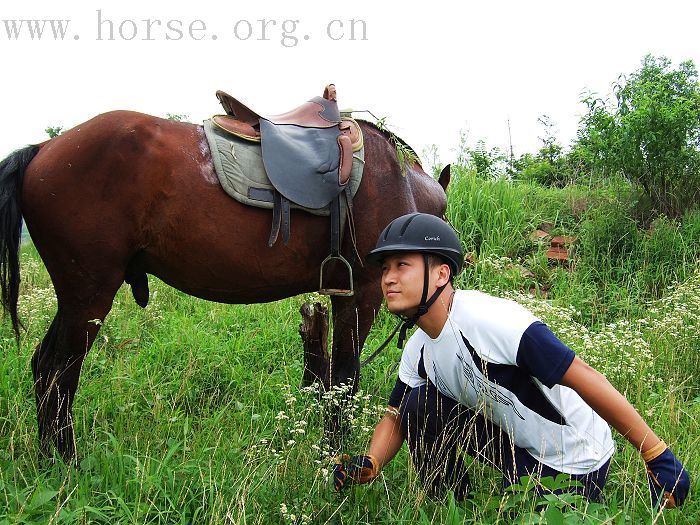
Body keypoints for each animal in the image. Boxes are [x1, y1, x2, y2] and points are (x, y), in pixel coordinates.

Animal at [0, 109, 448, 458]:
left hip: (76, 300)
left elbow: (334, 381)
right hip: (88, 298)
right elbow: (344, 380)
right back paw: (66, 460)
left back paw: (52, 458)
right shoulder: (362, 295)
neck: (397, 183)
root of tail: (43, 148)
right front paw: (333, 454)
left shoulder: (341, 298)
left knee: (44, 366)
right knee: (58, 371)